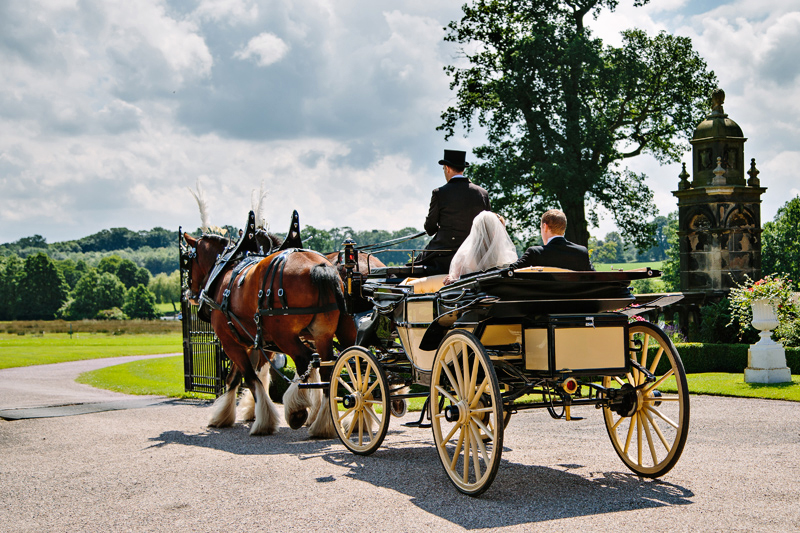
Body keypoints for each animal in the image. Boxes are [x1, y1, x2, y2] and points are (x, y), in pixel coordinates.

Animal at [184, 233, 356, 436]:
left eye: (187, 260)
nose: (189, 294)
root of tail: (320, 267)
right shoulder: (252, 343)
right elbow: (237, 377)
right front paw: (225, 414)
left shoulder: (230, 342)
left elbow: (250, 377)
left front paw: (262, 420)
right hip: (326, 335)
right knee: (333, 369)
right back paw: (326, 423)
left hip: (285, 337)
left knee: (305, 361)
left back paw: (297, 410)